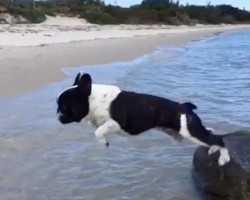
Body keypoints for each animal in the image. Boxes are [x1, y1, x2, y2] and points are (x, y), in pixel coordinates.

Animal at [56, 72, 230, 166]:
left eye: (64, 107)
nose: (58, 116)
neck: (93, 99)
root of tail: (184, 106)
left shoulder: (116, 123)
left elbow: (98, 131)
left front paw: (104, 141)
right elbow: (98, 129)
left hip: (190, 132)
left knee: (218, 139)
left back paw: (224, 158)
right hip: (191, 131)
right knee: (210, 133)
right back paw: (213, 149)